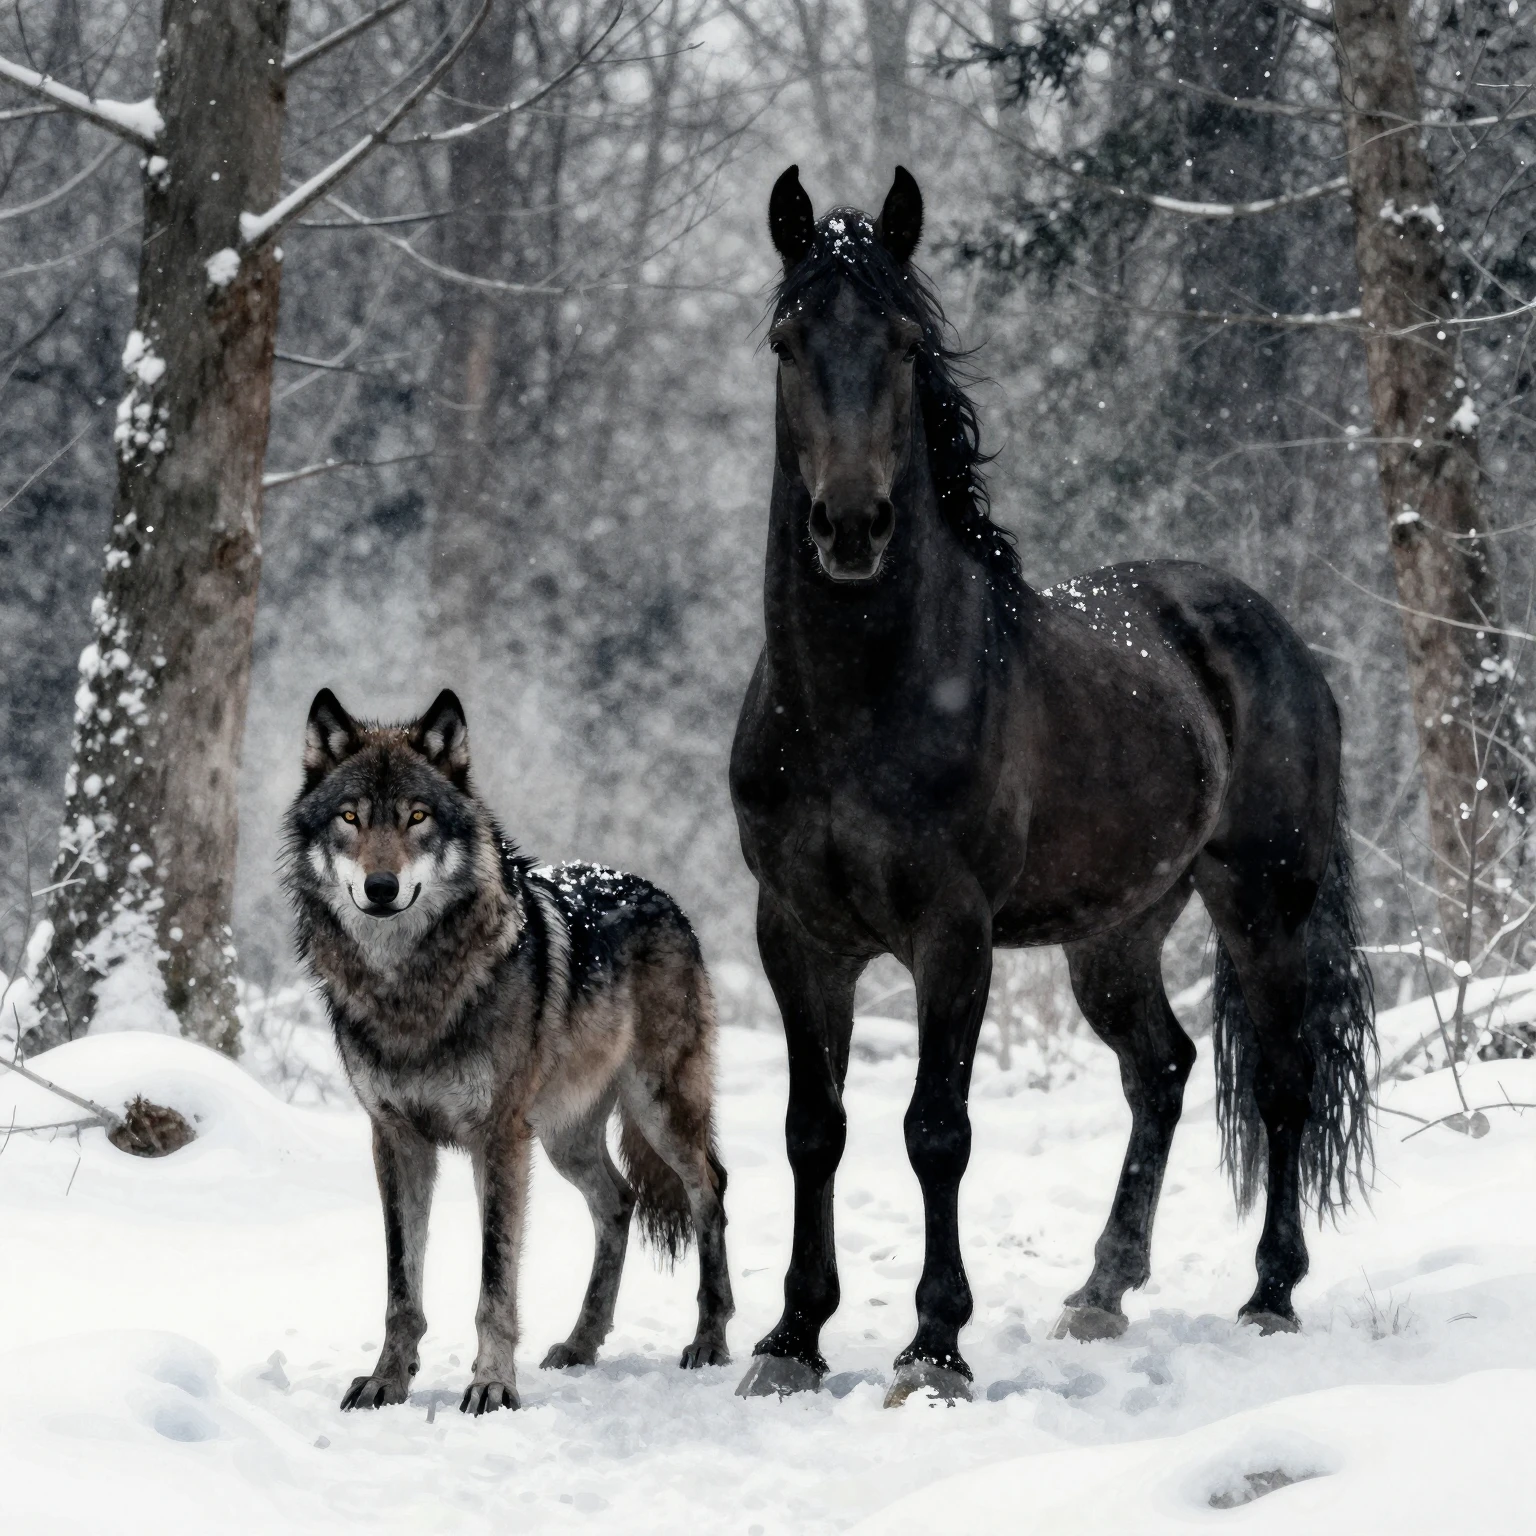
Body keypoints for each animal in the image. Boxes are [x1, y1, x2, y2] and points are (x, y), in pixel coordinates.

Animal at [285, 687, 732, 1415]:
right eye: (351, 817)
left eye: (417, 817)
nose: (380, 888)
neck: (410, 990)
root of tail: (660, 894)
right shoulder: (395, 1138)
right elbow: (401, 1286)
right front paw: (387, 1379)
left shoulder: (496, 1137)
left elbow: (495, 1278)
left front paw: (492, 1385)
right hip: (560, 1137)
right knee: (618, 1202)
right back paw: (581, 1344)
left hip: (656, 1111)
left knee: (708, 1190)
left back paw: (710, 1338)